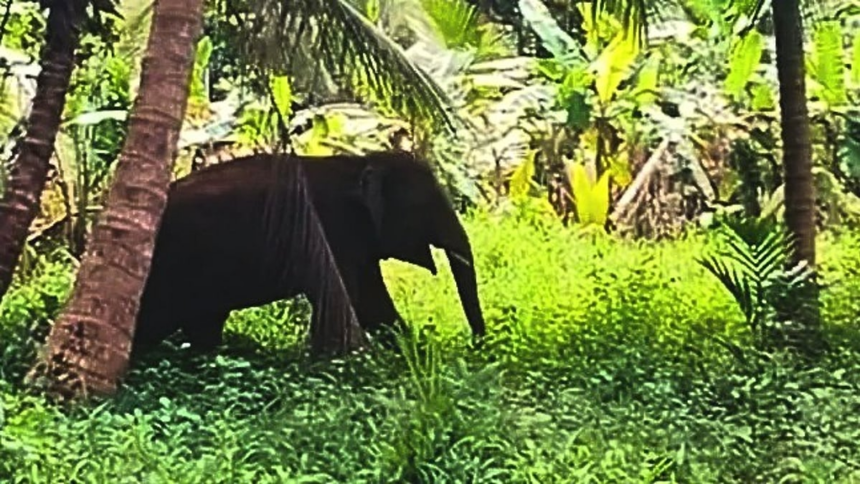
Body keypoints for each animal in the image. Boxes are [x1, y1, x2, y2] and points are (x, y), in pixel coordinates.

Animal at [131, 150, 486, 355]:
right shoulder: (332, 230)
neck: (358, 161)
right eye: (424, 206)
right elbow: (345, 300)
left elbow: (374, 303)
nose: (478, 345)